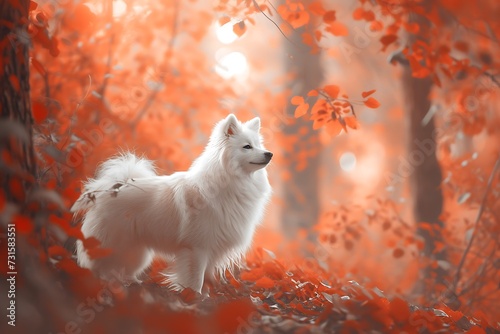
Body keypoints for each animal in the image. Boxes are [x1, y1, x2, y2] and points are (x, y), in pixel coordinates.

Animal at [71, 114, 270, 292]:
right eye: (247, 146)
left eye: (259, 145)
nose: (269, 153)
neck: (231, 182)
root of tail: (115, 187)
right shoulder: (197, 248)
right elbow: (196, 279)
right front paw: (193, 299)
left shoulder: (212, 248)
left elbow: (206, 279)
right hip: (111, 244)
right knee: (98, 266)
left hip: (137, 252)